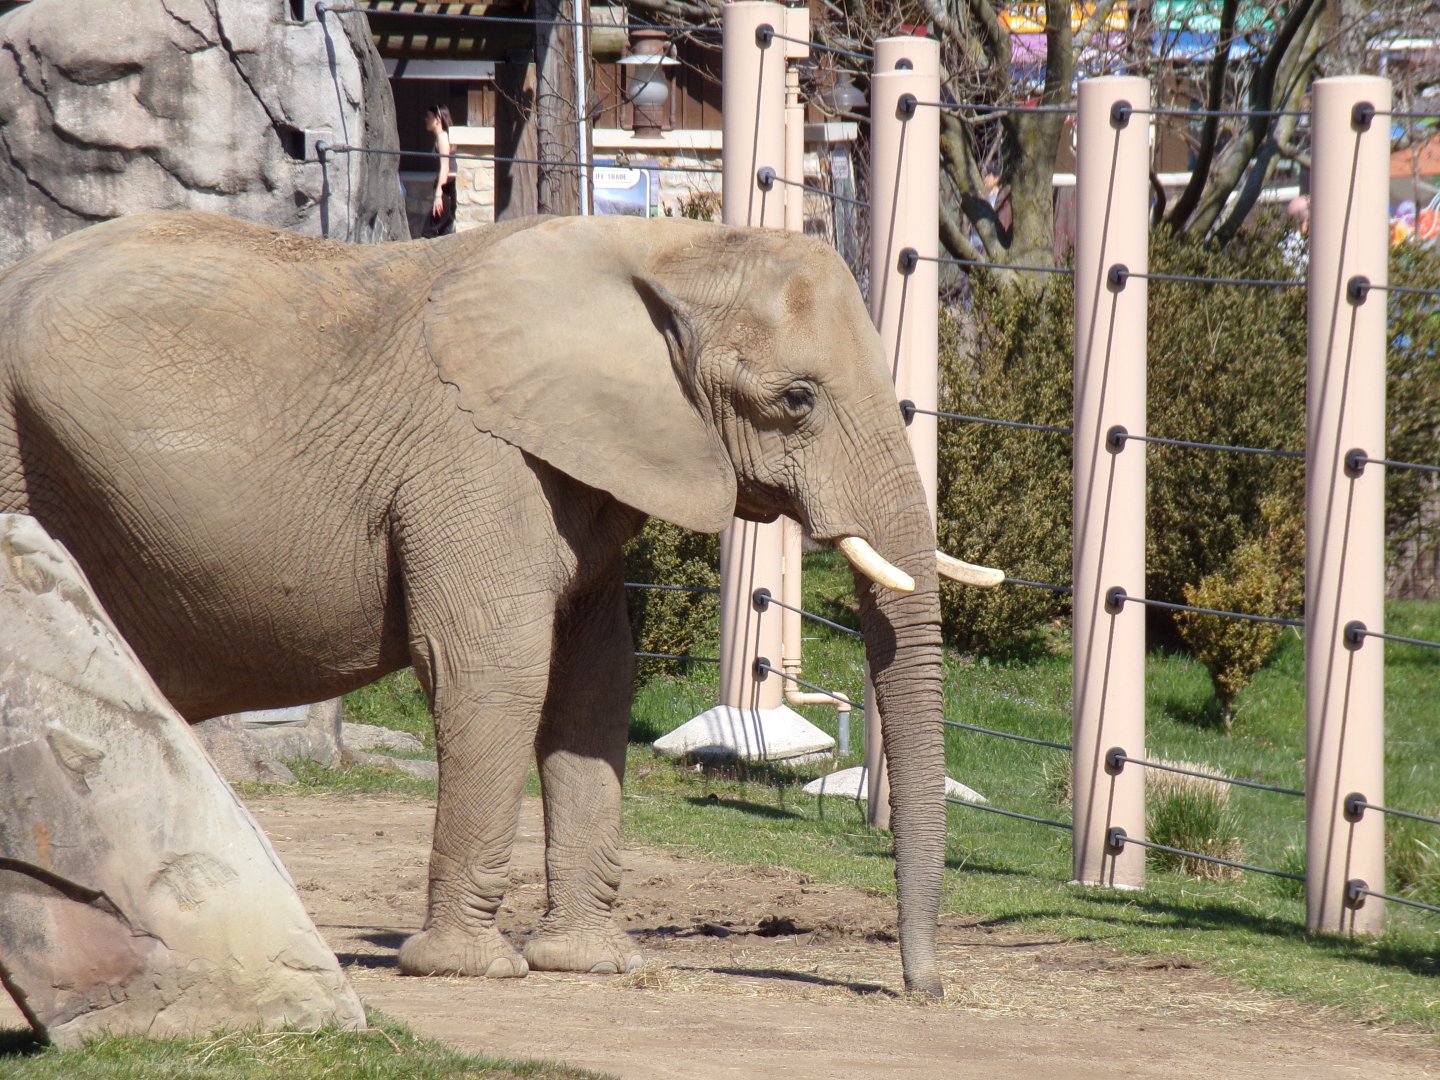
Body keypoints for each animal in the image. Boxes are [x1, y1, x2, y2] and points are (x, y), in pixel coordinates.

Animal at [0, 210, 970, 996]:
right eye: (796, 400)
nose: (919, 990)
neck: (657, 246)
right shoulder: (473, 456)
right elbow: (496, 667)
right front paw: (471, 970)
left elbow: (593, 681)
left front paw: (591, 965)